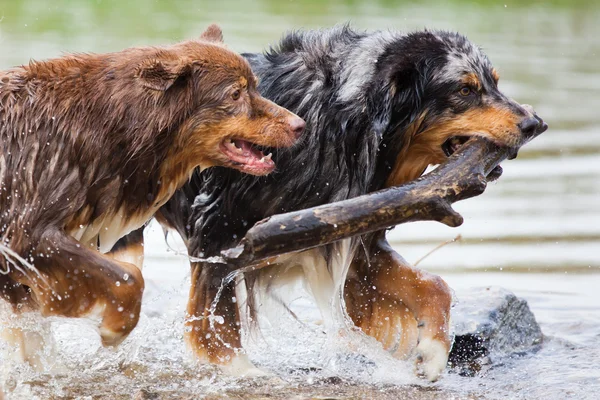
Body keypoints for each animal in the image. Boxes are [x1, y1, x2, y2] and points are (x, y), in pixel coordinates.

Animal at [0, 23, 302, 368]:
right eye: (235, 94)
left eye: (255, 87)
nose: (300, 125)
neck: (110, 123)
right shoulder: (25, 229)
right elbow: (128, 276)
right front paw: (115, 326)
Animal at [149, 25, 544, 382]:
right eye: (465, 89)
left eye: (495, 83)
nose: (534, 123)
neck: (336, 125)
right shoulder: (217, 236)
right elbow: (217, 329)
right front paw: (242, 372)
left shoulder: (352, 236)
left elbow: (435, 286)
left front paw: (432, 352)